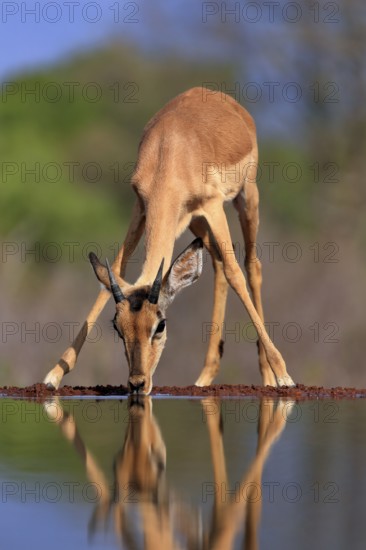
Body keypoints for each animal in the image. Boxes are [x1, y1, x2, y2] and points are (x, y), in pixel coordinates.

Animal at [43, 87, 294, 396]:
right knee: (217, 264)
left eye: (160, 325)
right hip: (194, 221)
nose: (137, 383)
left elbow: (236, 273)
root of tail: (215, 94)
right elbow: (116, 269)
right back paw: (205, 376)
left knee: (249, 265)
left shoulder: (213, 205)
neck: (170, 153)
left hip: (245, 197)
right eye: (118, 327)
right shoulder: (141, 208)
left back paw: (269, 376)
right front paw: (54, 375)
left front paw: (284, 375)